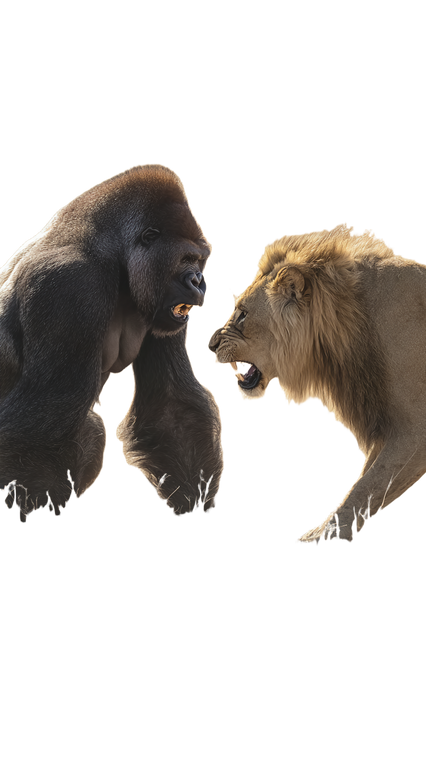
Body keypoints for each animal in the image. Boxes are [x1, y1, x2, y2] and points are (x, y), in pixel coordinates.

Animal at [206, 220, 426, 547]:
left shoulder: (415, 430)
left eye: (243, 314)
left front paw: (323, 536)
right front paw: (320, 532)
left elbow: (369, 485)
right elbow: (365, 484)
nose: (210, 345)